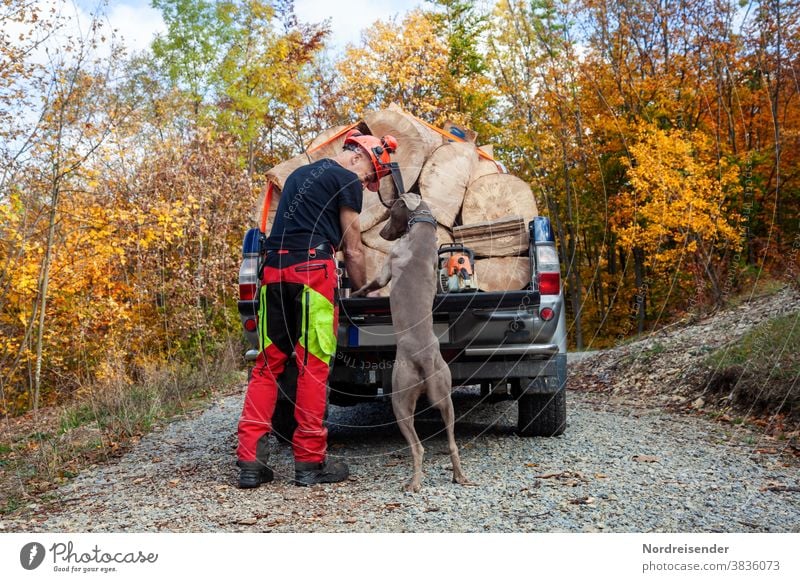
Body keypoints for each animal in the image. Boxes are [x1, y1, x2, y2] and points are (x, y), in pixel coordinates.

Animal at [352, 195, 468, 492]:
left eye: (392, 211)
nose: (382, 234)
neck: (422, 231)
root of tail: (424, 358)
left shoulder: (387, 266)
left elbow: (372, 283)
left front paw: (355, 293)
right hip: (445, 396)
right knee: (452, 443)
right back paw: (459, 476)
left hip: (400, 397)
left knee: (418, 447)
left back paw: (413, 484)